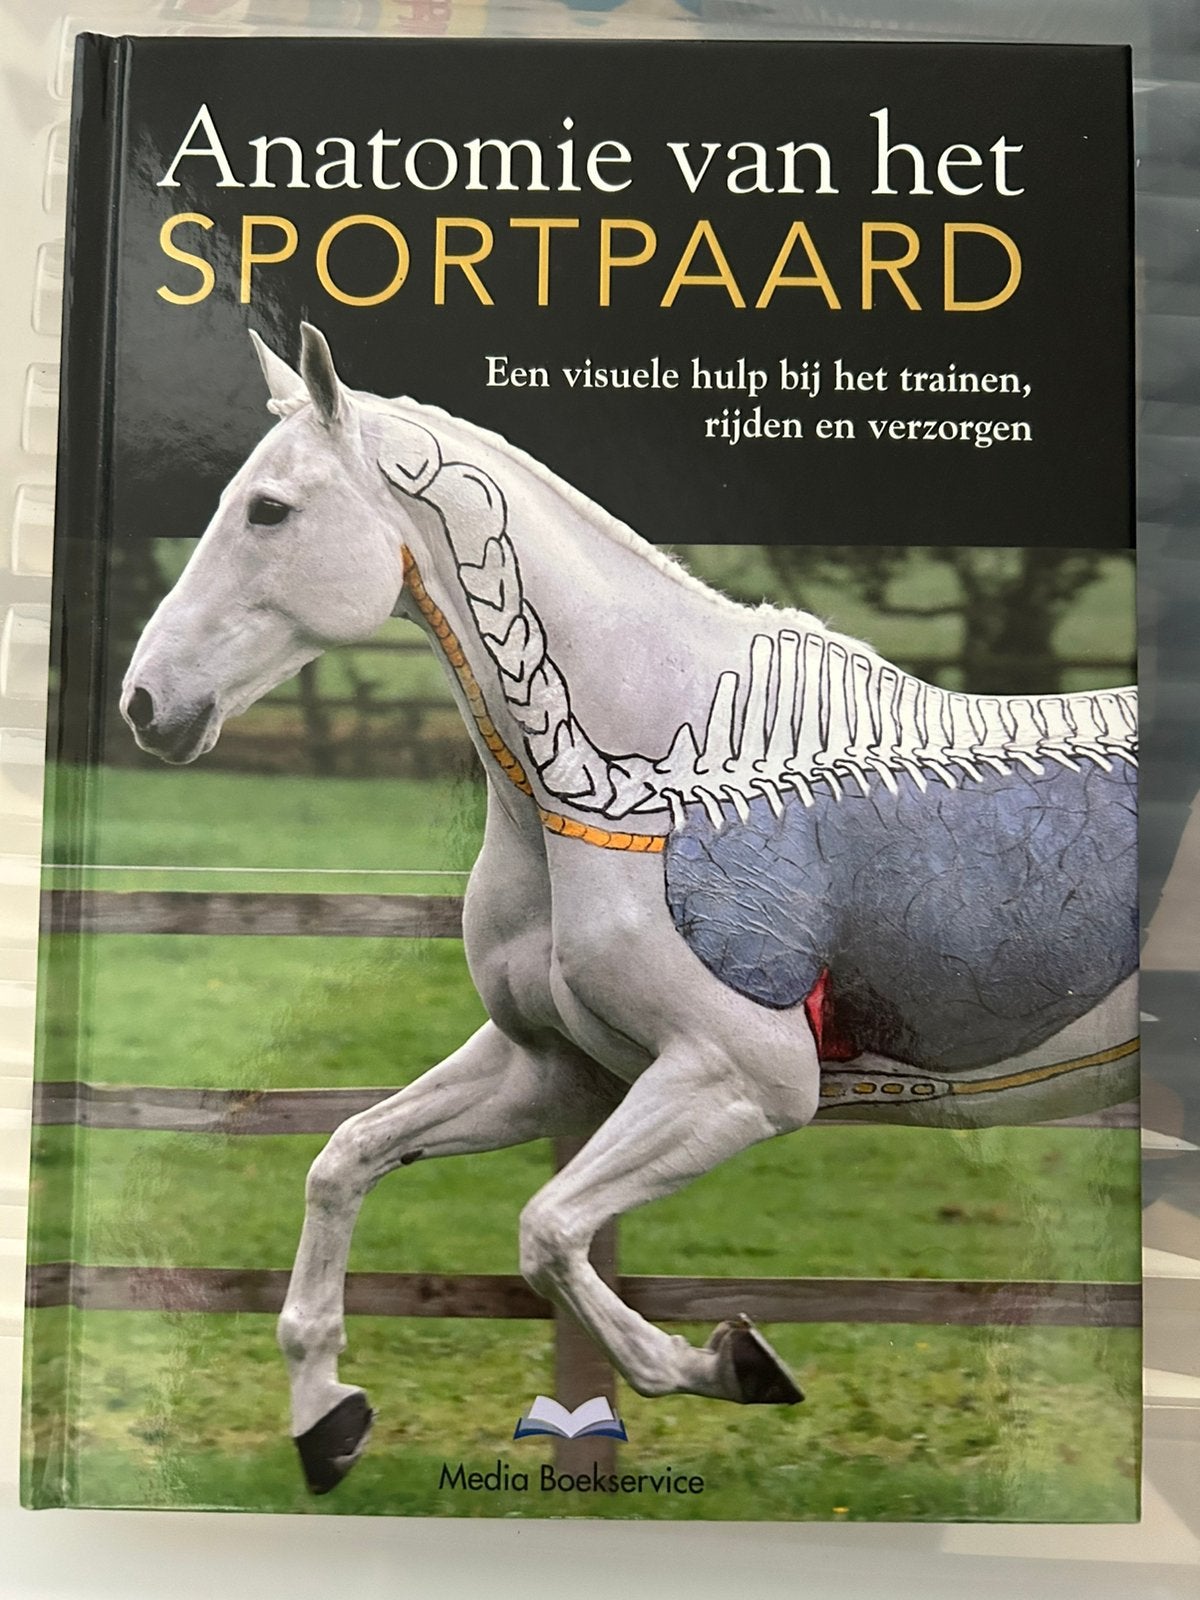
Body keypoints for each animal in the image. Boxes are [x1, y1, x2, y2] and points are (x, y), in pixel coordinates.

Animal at [121, 323, 1138, 1494]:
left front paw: (738, 1363)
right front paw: (326, 1419)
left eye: (270, 510)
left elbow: (548, 1231)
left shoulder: (741, 1079)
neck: (639, 790)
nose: (147, 704)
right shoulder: (557, 1066)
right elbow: (345, 1158)